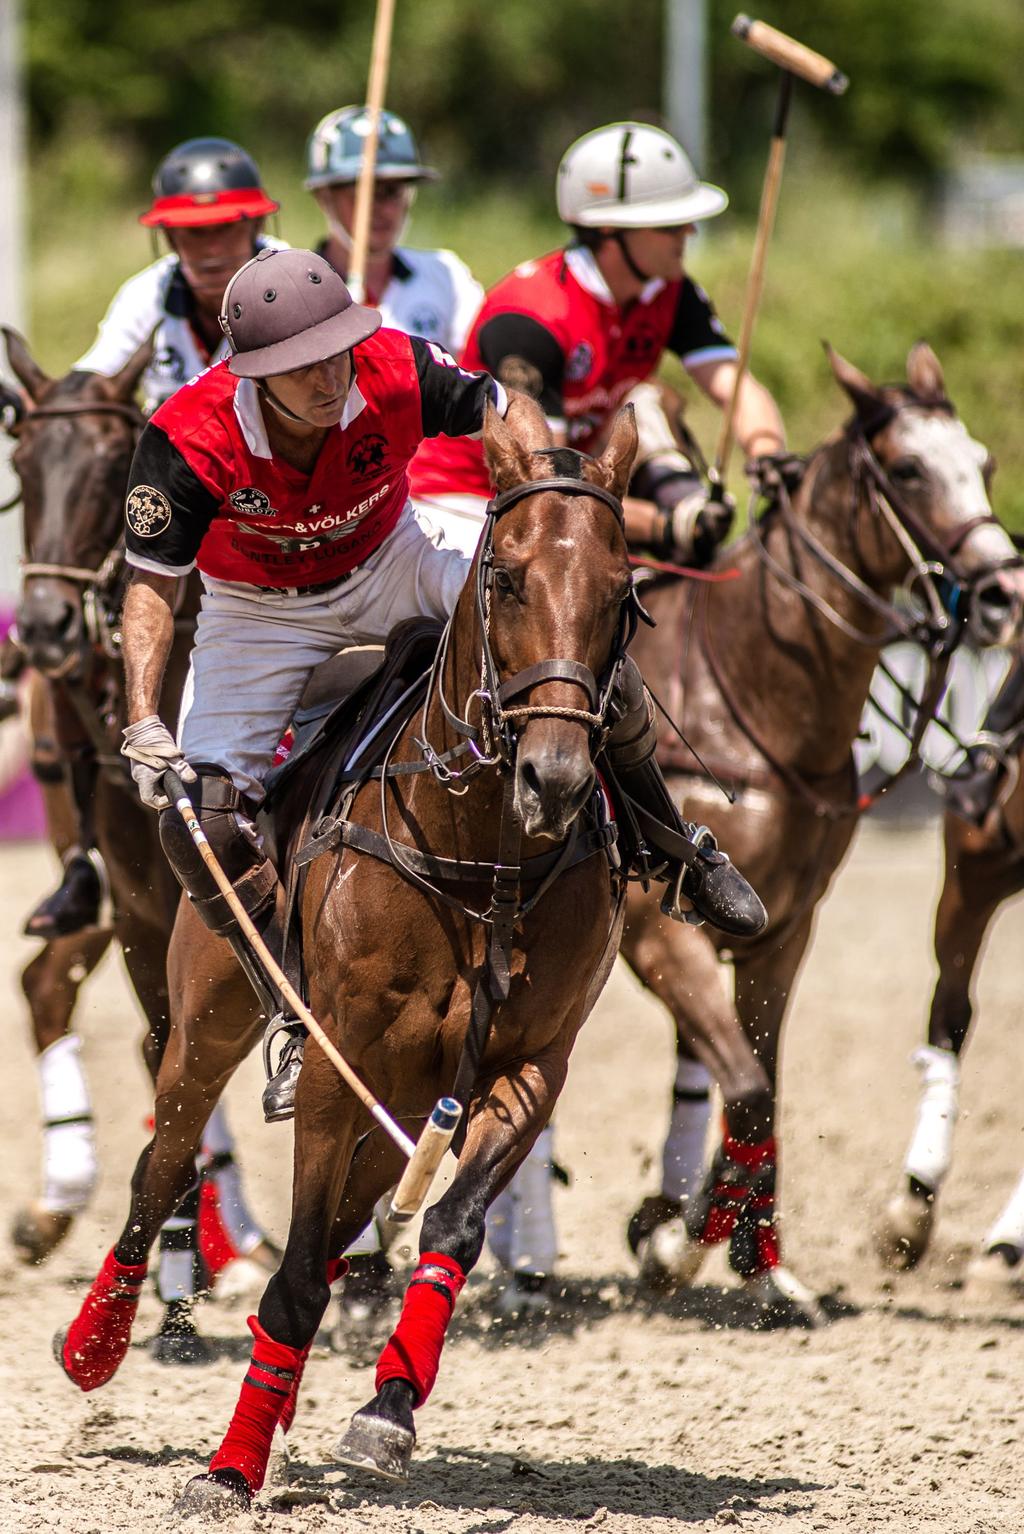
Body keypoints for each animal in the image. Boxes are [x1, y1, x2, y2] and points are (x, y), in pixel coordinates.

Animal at [54, 395, 646, 1509]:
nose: (552, 779)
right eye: (506, 577)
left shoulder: (529, 1064)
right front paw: (229, 1469)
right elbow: (289, 1274)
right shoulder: (339, 1065)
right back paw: (96, 1344)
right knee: (163, 1166)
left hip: (404, 1100)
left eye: (622, 591)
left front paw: (387, 1407)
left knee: (338, 1230)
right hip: (207, 1021)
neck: (478, 858)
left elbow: (448, 1226)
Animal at [619, 342, 1017, 1325]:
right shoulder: (656, 934)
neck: (749, 701)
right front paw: (678, 1238)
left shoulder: (783, 930)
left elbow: (762, 1088)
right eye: (908, 470)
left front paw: (751, 1260)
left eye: (984, 463)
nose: (1004, 593)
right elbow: (748, 1087)